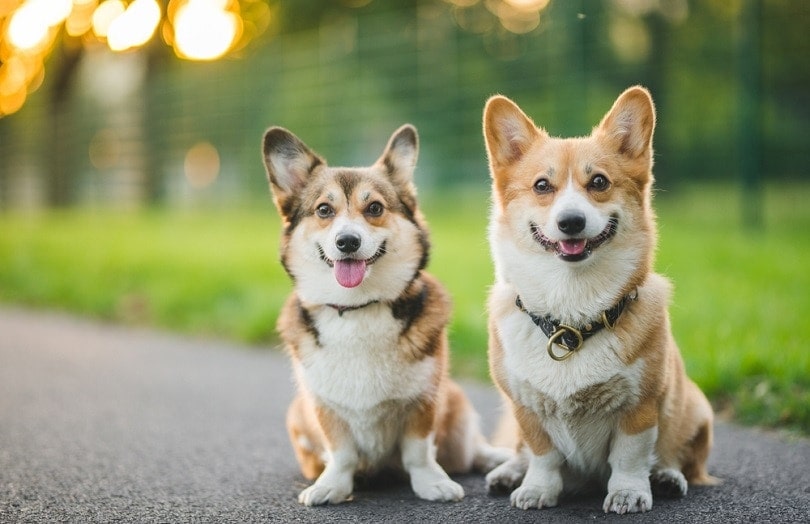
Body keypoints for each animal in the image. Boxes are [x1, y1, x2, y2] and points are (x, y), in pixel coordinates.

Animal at [262, 124, 508, 508]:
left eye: (375, 207)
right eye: (323, 210)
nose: (347, 241)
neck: (359, 307)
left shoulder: (424, 399)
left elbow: (419, 451)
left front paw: (432, 484)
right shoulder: (323, 406)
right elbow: (341, 452)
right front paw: (332, 487)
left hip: (455, 404)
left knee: (469, 450)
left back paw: (499, 460)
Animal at [480, 85, 712, 512]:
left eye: (599, 182)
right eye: (542, 186)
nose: (571, 222)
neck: (571, 318)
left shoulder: (640, 406)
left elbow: (630, 456)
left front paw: (629, 493)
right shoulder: (525, 407)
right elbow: (541, 453)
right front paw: (537, 488)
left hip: (696, 411)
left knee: (678, 457)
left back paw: (667, 476)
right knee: (520, 451)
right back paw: (509, 472)